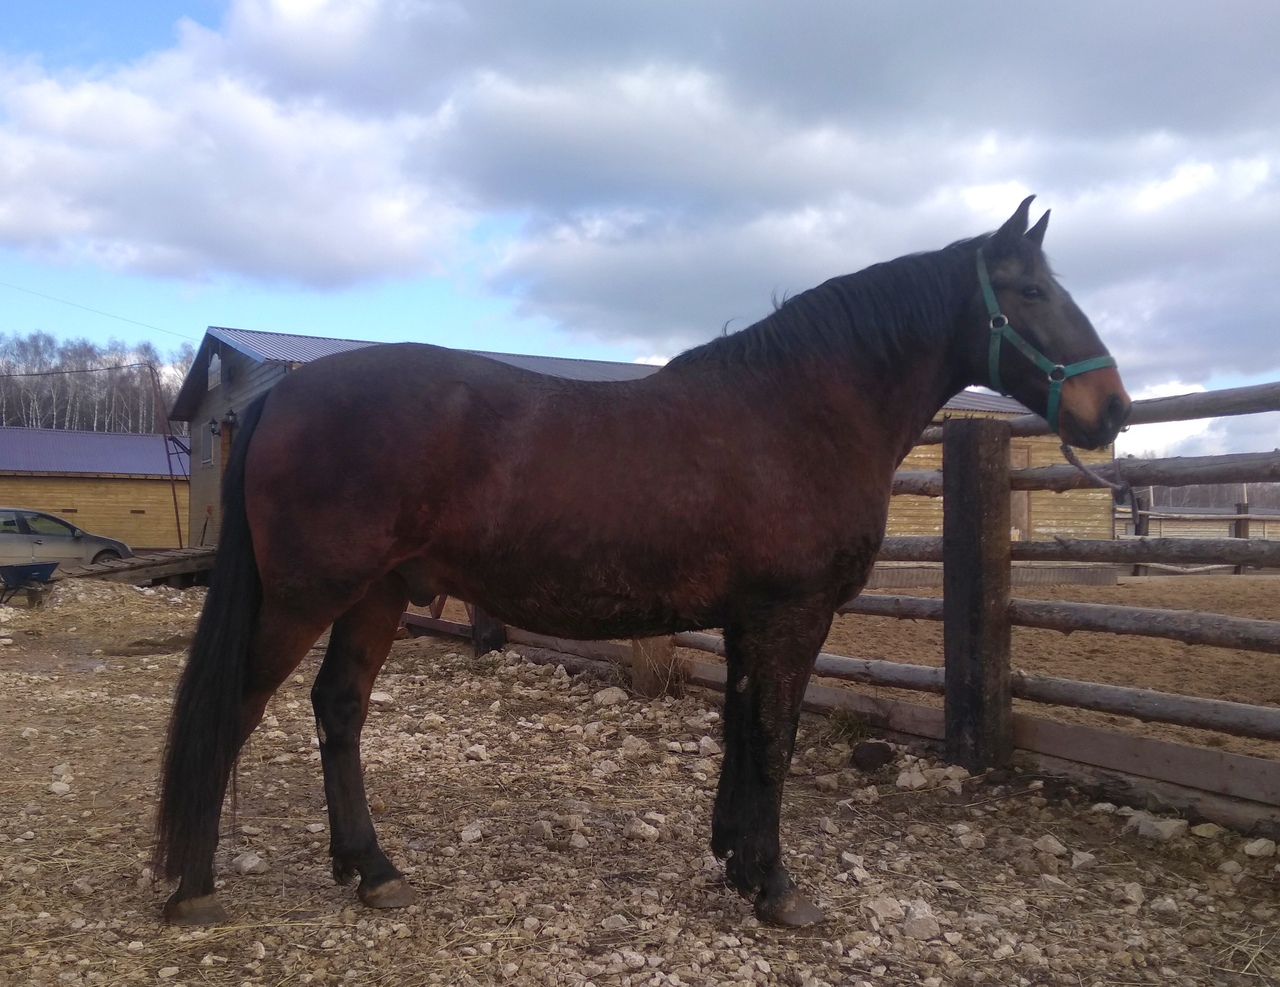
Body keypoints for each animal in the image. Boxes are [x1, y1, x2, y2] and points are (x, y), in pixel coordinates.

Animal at [154, 196, 1130, 928]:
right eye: (1032, 289)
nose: (1113, 408)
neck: (798, 413)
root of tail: (282, 396)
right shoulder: (792, 612)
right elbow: (776, 737)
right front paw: (779, 889)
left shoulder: (748, 618)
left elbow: (743, 731)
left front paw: (737, 862)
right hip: (306, 597)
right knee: (236, 708)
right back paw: (193, 886)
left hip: (376, 595)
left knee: (339, 709)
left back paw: (372, 868)